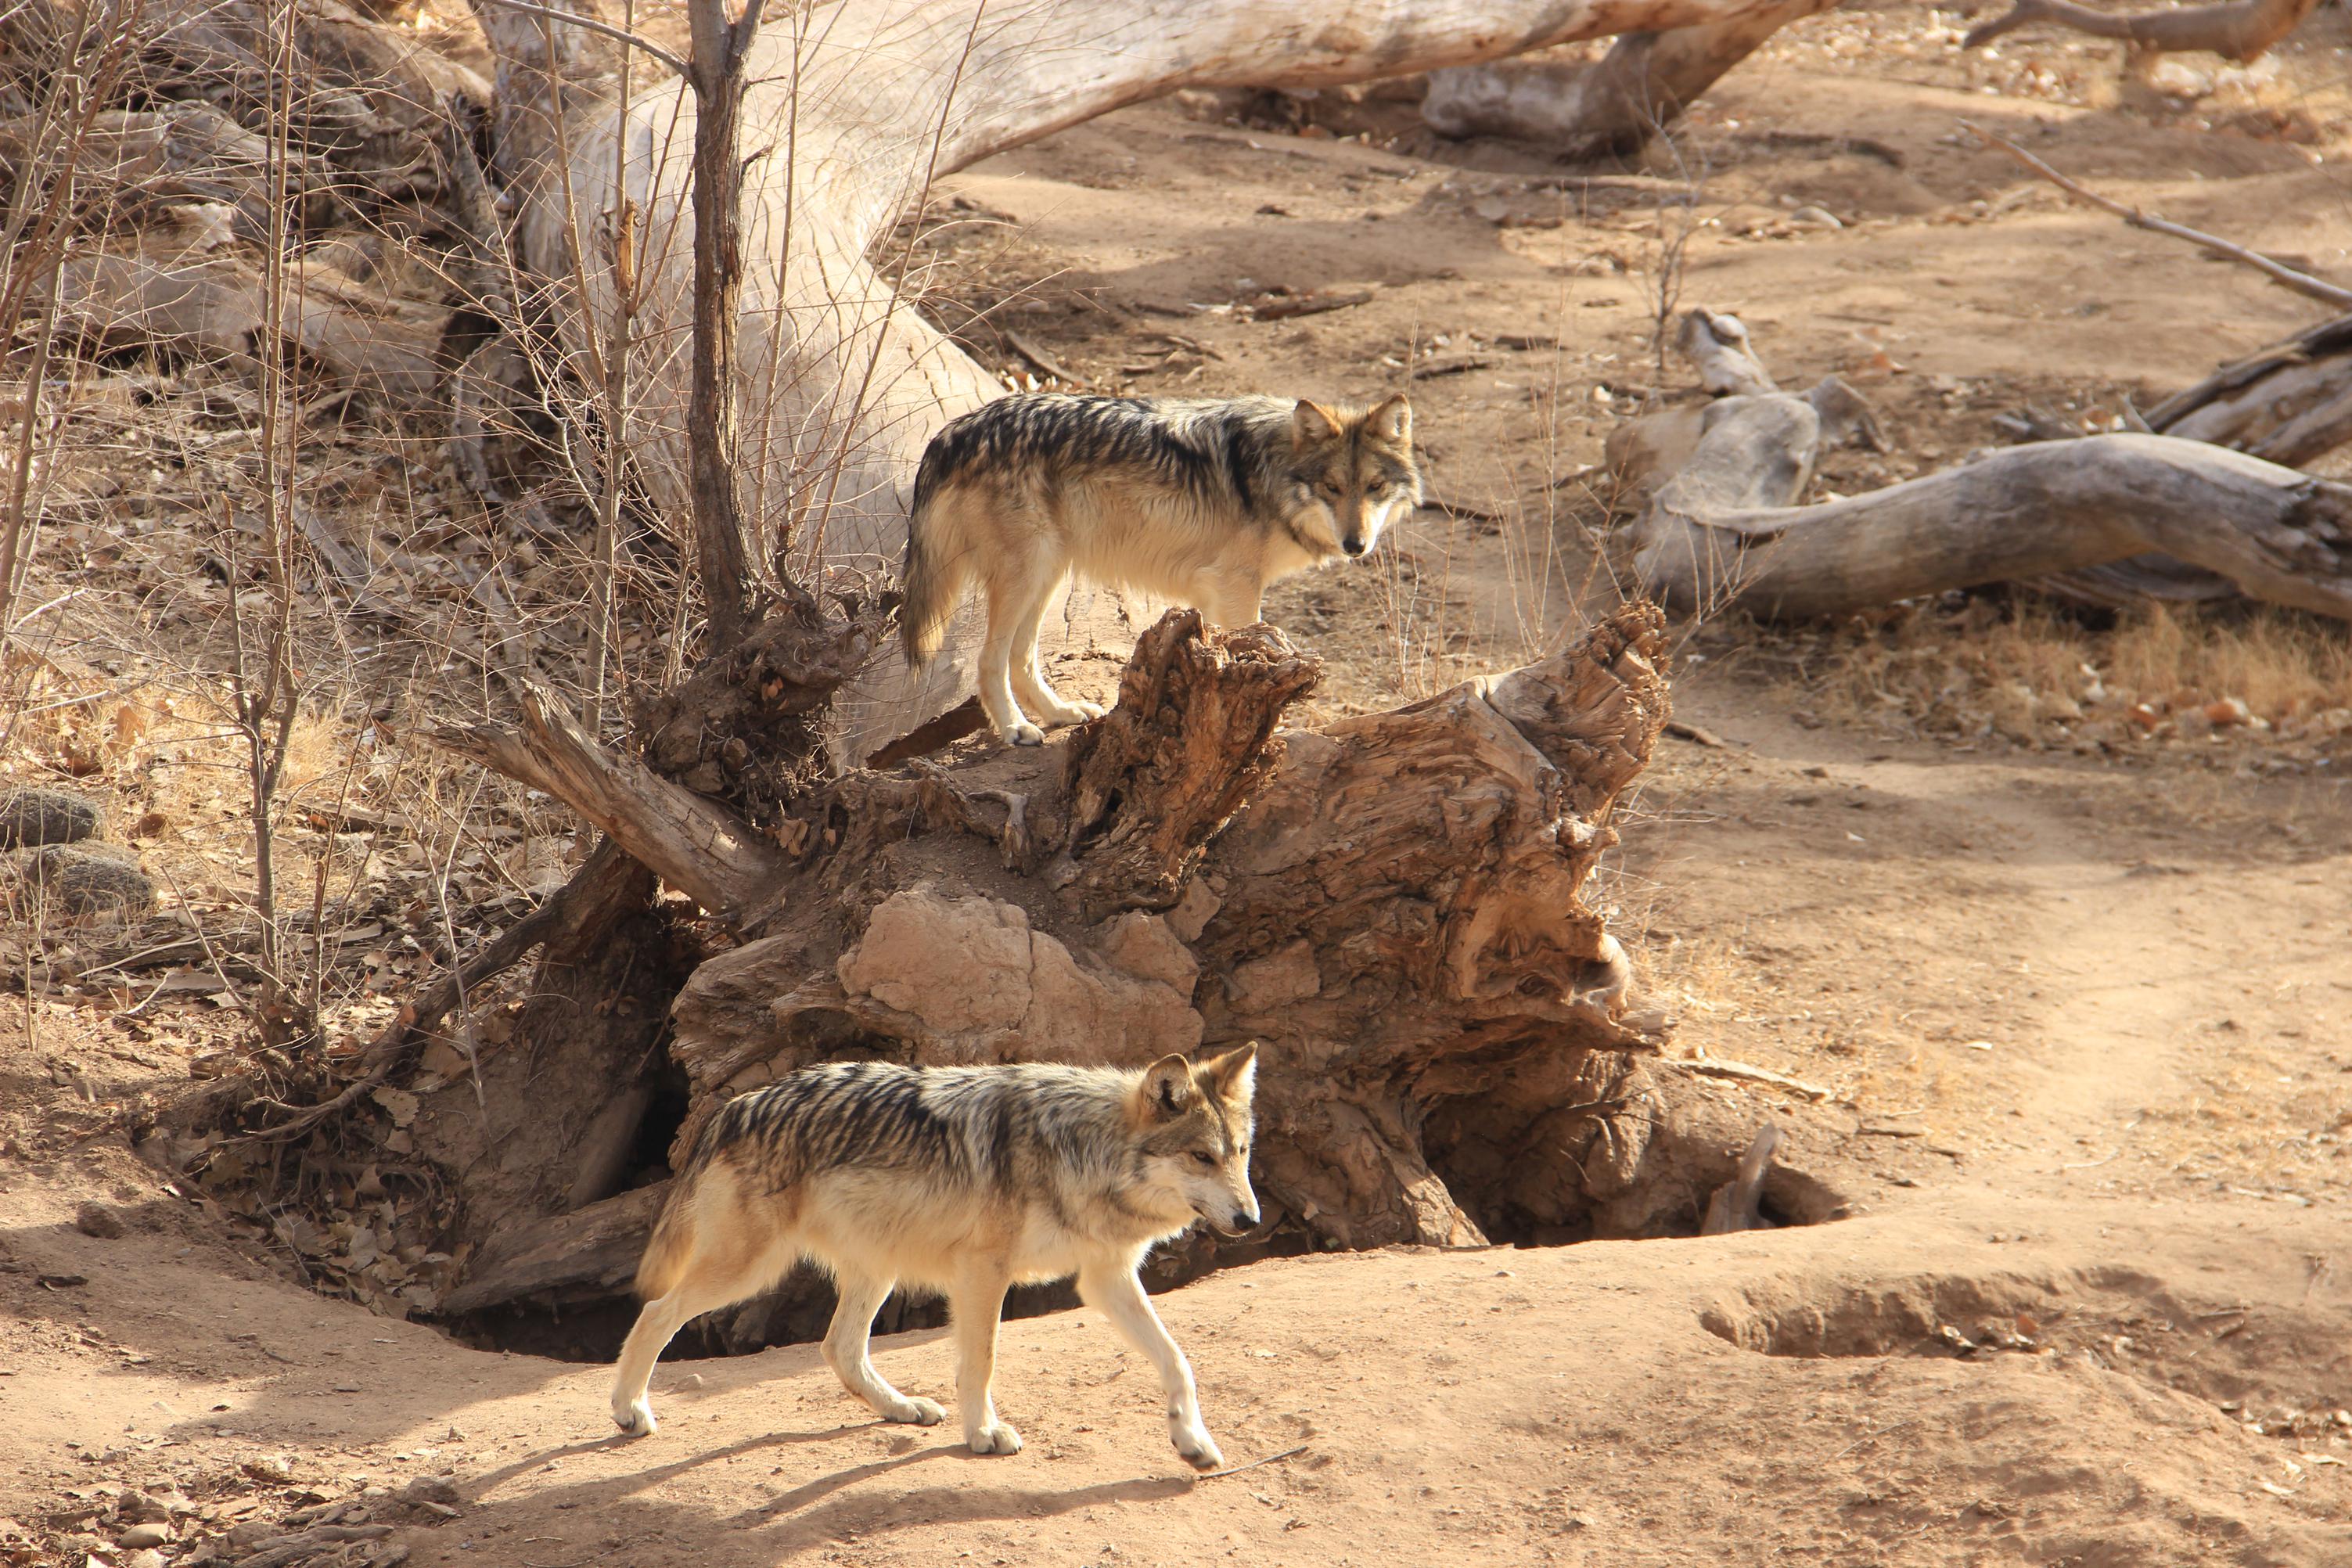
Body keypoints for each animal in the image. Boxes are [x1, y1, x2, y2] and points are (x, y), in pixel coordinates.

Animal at [616, 1043, 1261, 1476]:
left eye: (1240, 1152)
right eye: (1202, 1157)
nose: (1251, 1220)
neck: (1083, 1150)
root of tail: (738, 1104)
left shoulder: (1106, 1278)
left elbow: (1177, 1361)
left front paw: (1193, 1442)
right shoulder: (984, 1271)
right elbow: (981, 1361)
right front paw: (985, 1432)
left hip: (876, 1269)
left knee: (839, 1348)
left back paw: (902, 1408)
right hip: (749, 1270)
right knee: (654, 1313)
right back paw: (629, 1411)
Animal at [894, 394, 1411, 747]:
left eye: (1374, 487)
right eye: (1331, 487)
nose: (1356, 545)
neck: (1269, 471)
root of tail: (951, 433)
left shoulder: (1215, 597)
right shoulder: (1237, 587)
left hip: (1048, 574)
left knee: (1021, 659)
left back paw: (1060, 713)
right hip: (1027, 574)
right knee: (990, 661)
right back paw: (1016, 728)